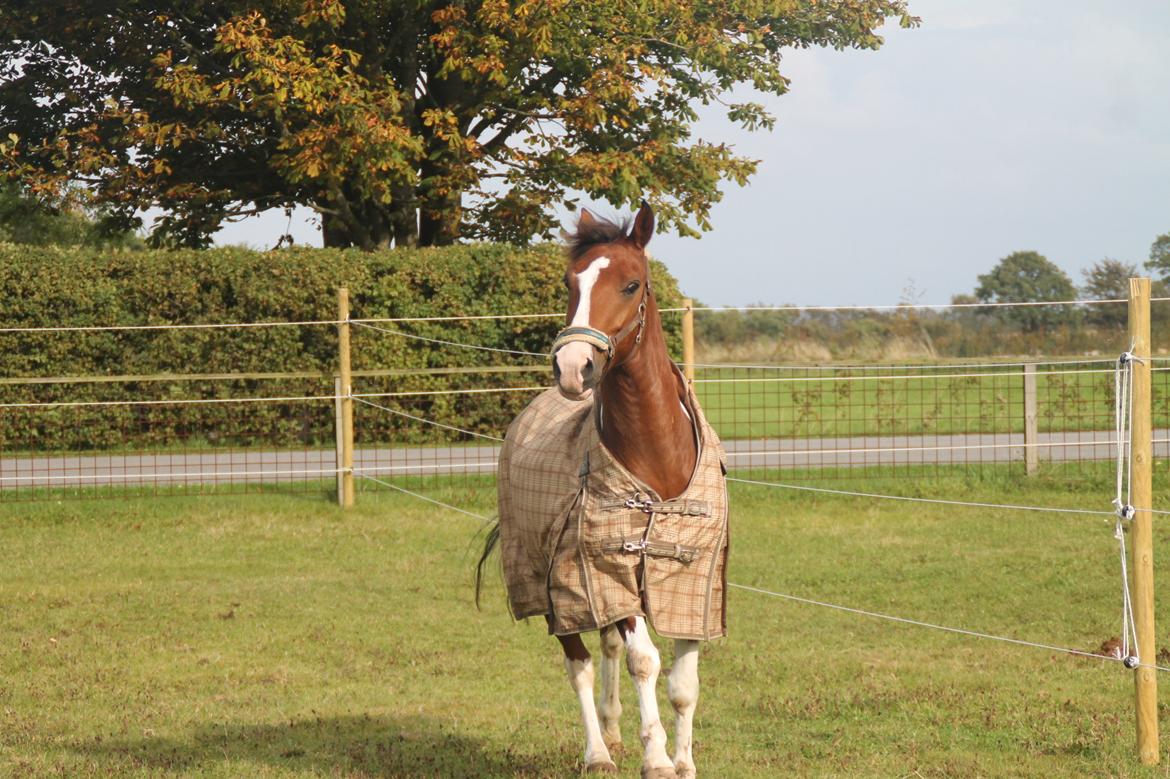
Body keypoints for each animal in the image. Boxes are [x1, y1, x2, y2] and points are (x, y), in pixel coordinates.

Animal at [479, 203, 725, 771]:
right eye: (570, 282)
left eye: (631, 284)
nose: (573, 368)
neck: (659, 459)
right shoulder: (607, 569)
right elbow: (644, 661)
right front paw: (656, 760)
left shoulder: (691, 580)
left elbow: (683, 682)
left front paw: (684, 764)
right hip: (554, 584)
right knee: (580, 663)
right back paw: (598, 752)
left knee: (606, 648)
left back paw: (612, 731)